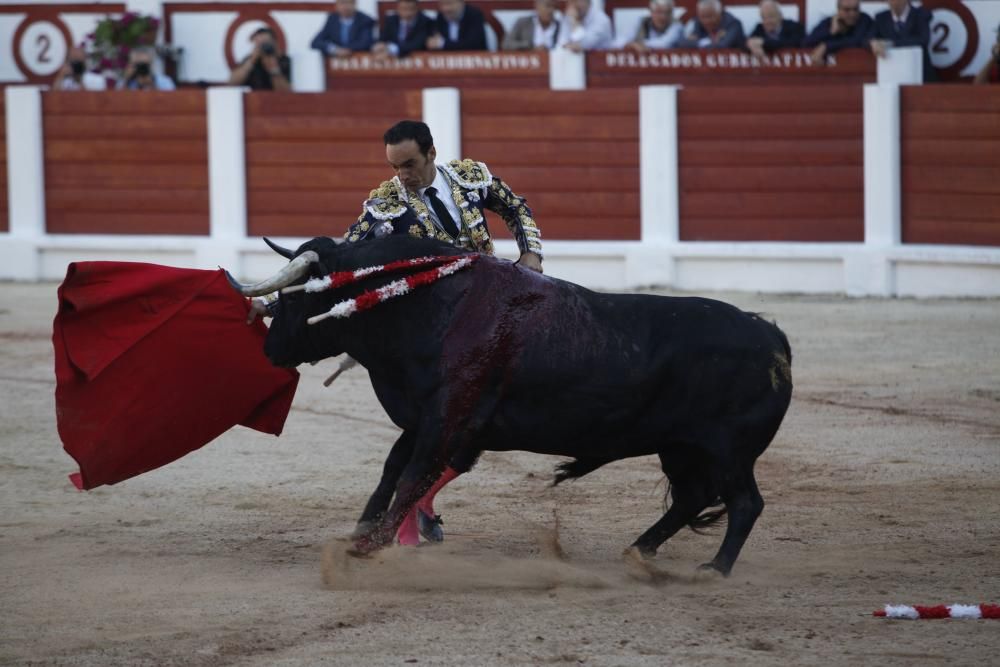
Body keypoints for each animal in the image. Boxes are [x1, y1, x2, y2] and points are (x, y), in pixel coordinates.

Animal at [232, 237, 788, 576]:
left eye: (296, 297)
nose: (270, 348)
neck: (430, 305)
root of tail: (772, 338)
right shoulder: (427, 417)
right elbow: (392, 470)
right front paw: (364, 531)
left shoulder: (447, 417)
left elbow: (410, 475)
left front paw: (371, 544)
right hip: (681, 447)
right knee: (691, 498)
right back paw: (638, 551)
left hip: (728, 450)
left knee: (745, 503)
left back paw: (713, 570)